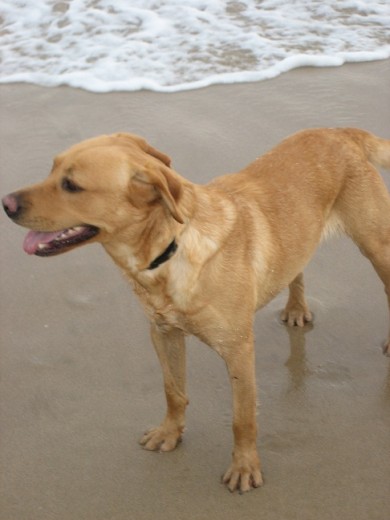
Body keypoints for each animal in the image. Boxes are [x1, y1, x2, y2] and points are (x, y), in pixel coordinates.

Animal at [3, 129, 390, 492]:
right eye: (52, 169)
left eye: (71, 185)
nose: (5, 203)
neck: (169, 250)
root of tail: (338, 132)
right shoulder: (163, 333)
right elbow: (173, 391)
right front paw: (170, 433)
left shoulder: (238, 351)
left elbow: (242, 418)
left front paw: (244, 467)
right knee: (297, 267)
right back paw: (296, 307)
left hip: (377, 246)